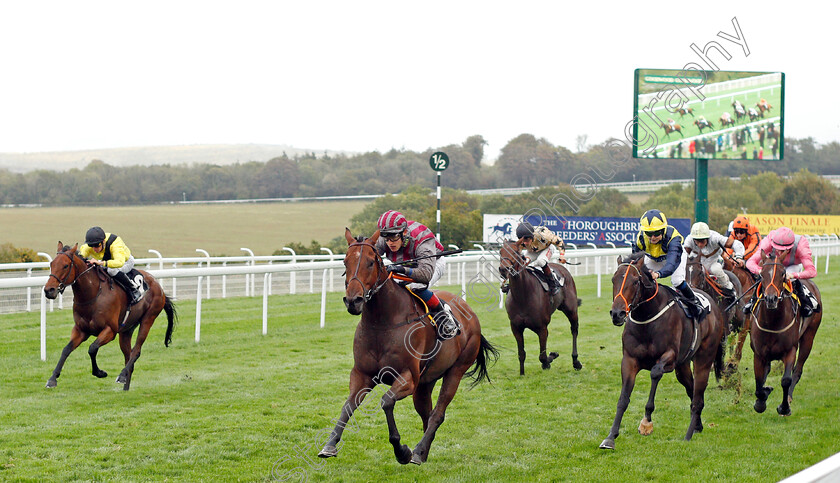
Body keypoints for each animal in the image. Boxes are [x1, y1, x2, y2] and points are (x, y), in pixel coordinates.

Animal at [42, 244, 176, 392]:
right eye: (51, 264)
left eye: (65, 266)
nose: (49, 290)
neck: (93, 294)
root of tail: (159, 286)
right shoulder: (81, 330)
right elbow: (66, 349)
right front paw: (52, 379)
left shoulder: (110, 330)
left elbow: (92, 348)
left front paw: (100, 372)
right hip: (126, 330)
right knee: (128, 356)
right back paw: (125, 387)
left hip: (148, 319)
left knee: (136, 351)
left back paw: (121, 376)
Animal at [318, 230, 496, 466]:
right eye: (346, 261)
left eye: (370, 262)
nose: (353, 301)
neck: (382, 323)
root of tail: (470, 312)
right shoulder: (362, 374)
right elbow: (348, 405)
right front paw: (330, 445)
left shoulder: (408, 378)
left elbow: (386, 402)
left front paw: (401, 451)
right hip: (426, 382)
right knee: (426, 412)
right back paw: (424, 452)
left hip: (456, 370)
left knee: (438, 413)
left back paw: (418, 451)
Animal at [496, 240, 580, 376]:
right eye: (500, 251)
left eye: (515, 252)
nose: (504, 269)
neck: (522, 296)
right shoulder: (516, 327)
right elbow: (521, 354)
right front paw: (522, 373)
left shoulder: (542, 328)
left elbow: (543, 356)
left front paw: (551, 357)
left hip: (571, 310)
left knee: (574, 330)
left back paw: (576, 361)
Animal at [600, 255, 724, 452]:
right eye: (613, 279)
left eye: (635, 282)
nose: (617, 313)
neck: (647, 318)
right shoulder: (629, 360)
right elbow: (623, 399)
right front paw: (611, 437)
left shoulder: (669, 358)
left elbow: (655, 373)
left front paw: (646, 422)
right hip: (683, 367)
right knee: (691, 389)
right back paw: (698, 425)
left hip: (704, 360)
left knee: (698, 398)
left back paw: (688, 435)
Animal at [748, 258, 820, 416]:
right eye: (761, 274)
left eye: (783, 274)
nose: (771, 299)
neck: (773, 322)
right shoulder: (758, 354)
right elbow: (758, 382)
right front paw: (761, 399)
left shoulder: (790, 350)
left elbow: (786, 380)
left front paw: (784, 407)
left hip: (809, 338)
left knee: (797, 370)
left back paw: (789, 397)